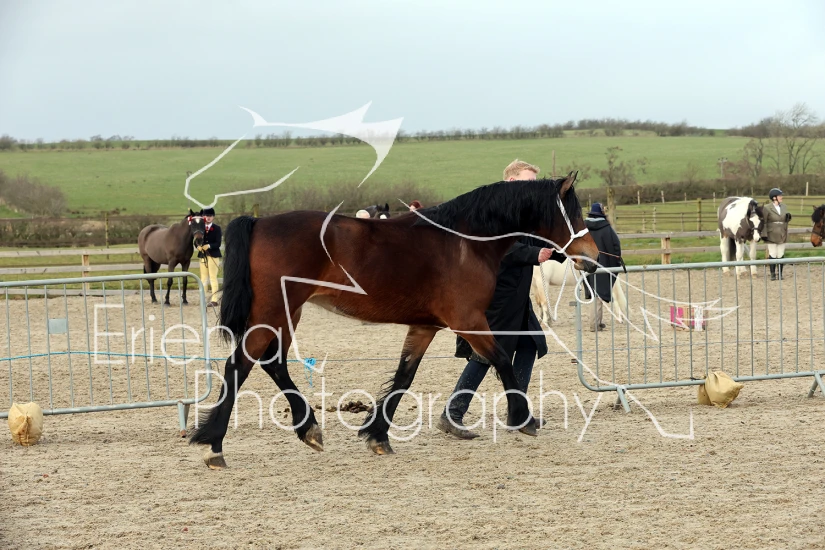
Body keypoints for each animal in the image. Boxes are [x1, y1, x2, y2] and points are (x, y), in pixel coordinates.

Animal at [189, 172, 599, 468]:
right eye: (572, 212)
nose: (594, 257)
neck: (465, 241)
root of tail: (259, 223)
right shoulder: (468, 319)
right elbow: (501, 359)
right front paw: (522, 418)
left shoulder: (426, 325)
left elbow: (405, 375)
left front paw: (377, 436)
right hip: (275, 312)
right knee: (240, 364)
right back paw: (214, 444)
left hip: (289, 313)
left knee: (273, 362)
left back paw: (308, 430)